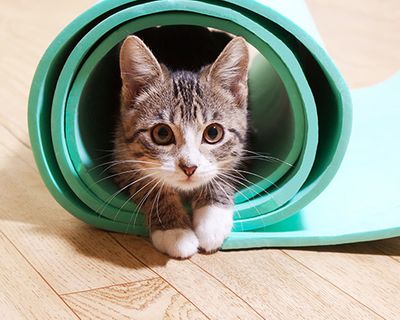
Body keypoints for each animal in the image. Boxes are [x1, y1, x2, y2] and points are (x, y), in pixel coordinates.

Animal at [112, 35, 248, 258]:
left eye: (213, 133)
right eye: (162, 133)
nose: (189, 167)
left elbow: (224, 172)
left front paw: (212, 220)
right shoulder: (120, 156)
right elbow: (147, 184)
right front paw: (175, 231)